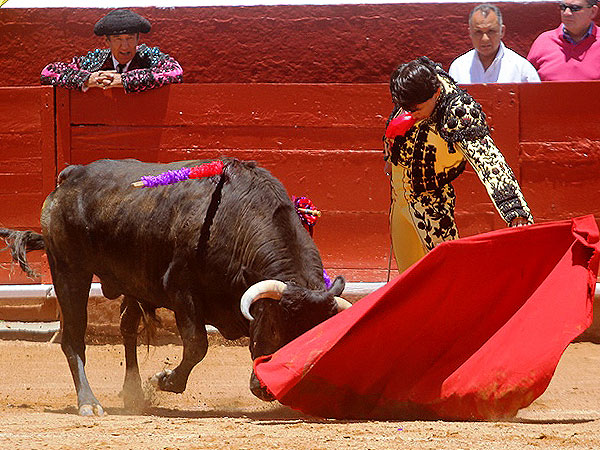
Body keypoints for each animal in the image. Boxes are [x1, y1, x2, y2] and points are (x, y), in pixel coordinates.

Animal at [0, 157, 350, 416]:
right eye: (276, 326)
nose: (267, 389)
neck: (237, 224)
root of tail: (70, 175)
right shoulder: (182, 292)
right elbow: (197, 345)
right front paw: (163, 380)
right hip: (69, 271)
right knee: (73, 337)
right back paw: (89, 403)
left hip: (129, 280)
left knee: (127, 327)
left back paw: (132, 393)